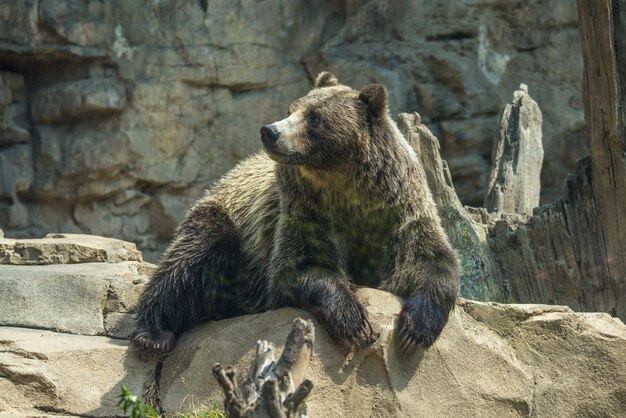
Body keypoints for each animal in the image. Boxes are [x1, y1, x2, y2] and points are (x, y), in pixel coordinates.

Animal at [132, 72, 458, 352]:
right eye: (292, 109)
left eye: (315, 117)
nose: (270, 131)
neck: (346, 189)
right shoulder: (306, 214)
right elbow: (301, 266)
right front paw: (354, 322)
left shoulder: (400, 213)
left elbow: (432, 262)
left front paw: (414, 330)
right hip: (229, 222)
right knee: (188, 258)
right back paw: (154, 333)